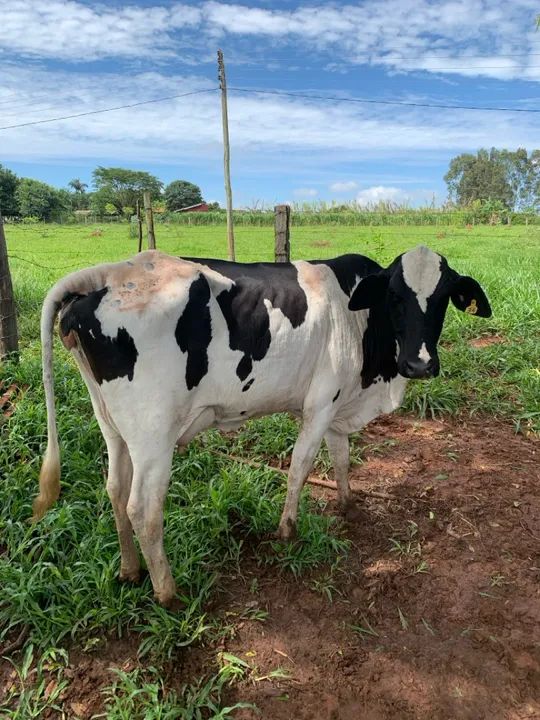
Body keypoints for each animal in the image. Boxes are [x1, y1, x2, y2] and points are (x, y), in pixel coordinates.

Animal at [32, 245, 491, 608]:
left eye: (444, 298)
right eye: (395, 295)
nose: (419, 364)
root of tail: (111, 272)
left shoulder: (338, 404)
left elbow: (341, 457)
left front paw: (347, 503)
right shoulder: (320, 404)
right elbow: (301, 467)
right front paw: (288, 529)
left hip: (112, 424)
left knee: (114, 489)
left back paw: (130, 570)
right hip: (153, 434)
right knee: (143, 508)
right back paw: (167, 591)